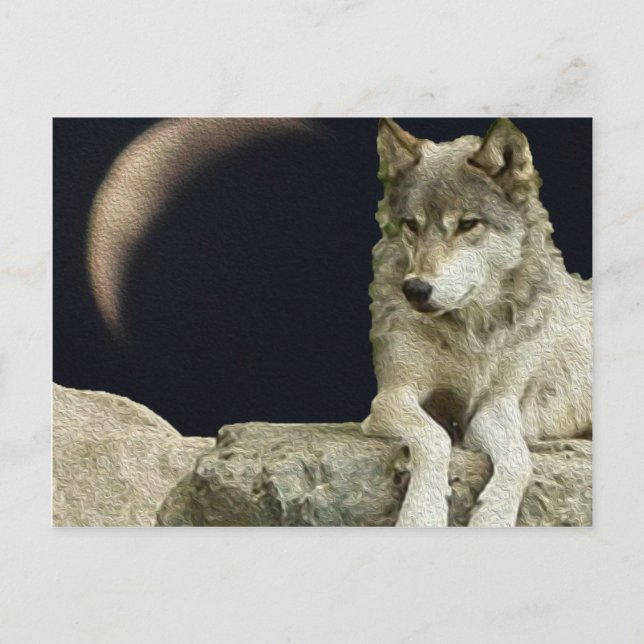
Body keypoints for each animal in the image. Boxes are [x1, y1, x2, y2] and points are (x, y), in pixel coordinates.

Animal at [361, 118, 592, 527]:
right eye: (412, 226)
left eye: (468, 224)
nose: (416, 289)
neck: (472, 336)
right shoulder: (392, 395)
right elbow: (434, 436)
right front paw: (422, 513)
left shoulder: (495, 406)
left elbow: (519, 459)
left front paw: (493, 517)